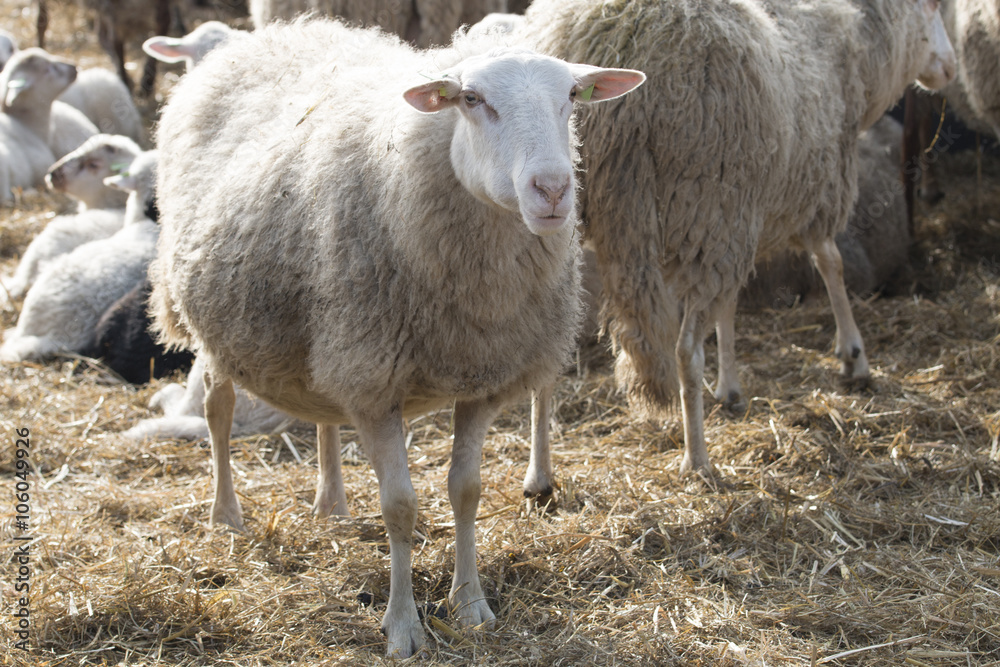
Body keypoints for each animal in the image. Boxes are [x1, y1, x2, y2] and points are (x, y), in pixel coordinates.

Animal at [149, 19, 643, 656]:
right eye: (472, 99)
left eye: (573, 98)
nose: (554, 190)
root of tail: (262, 38)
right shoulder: (377, 383)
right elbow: (400, 507)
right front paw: (404, 626)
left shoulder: (477, 379)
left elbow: (466, 490)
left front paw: (471, 604)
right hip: (219, 325)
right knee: (217, 409)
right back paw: (225, 515)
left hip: (328, 334)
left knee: (324, 413)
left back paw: (331, 504)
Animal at [515, 0, 954, 479]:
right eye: (933, 7)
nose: (950, 69)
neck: (861, 47)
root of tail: (615, 40)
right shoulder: (806, 196)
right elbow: (831, 265)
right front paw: (854, 356)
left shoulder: (739, 219)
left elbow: (728, 306)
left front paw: (729, 387)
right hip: (709, 198)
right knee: (686, 352)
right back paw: (697, 459)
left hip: (567, 215)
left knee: (551, 354)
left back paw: (539, 475)